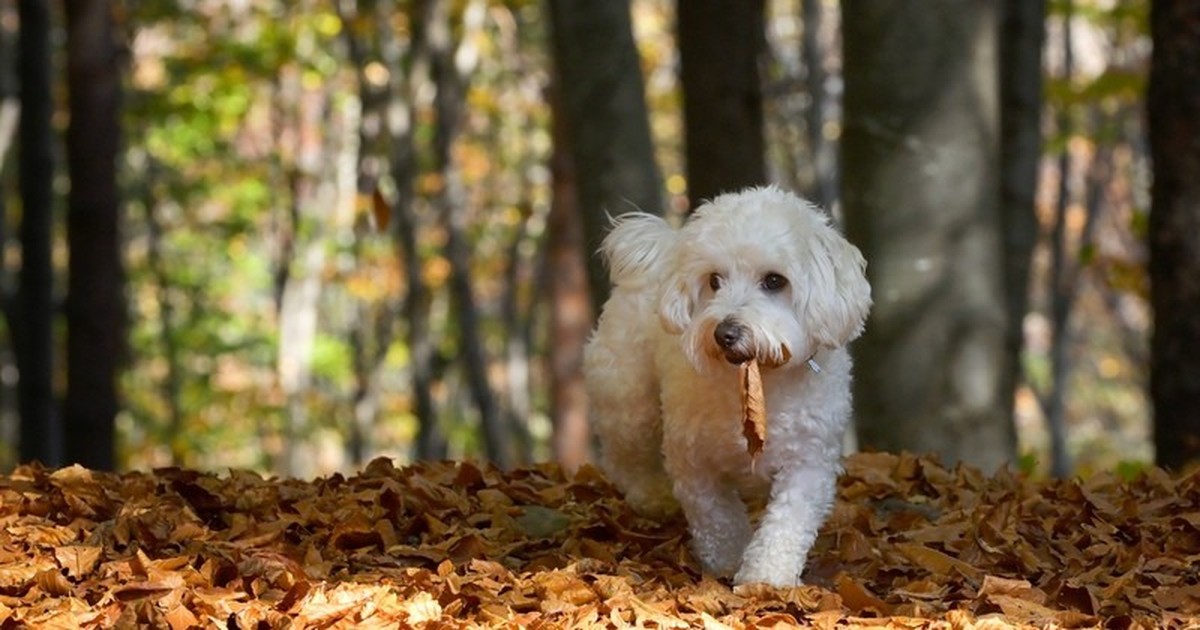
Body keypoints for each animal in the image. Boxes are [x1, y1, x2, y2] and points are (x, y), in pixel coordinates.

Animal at [583, 186, 873, 585]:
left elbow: (787, 522)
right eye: (714, 280)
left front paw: (766, 578)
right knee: (626, 456)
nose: (725, 333)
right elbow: (716, 516)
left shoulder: (808, 463)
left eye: (774, 280)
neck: (758, 383)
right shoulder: (692, 461)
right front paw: (728, 561)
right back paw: (652, 496)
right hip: (629, 398)